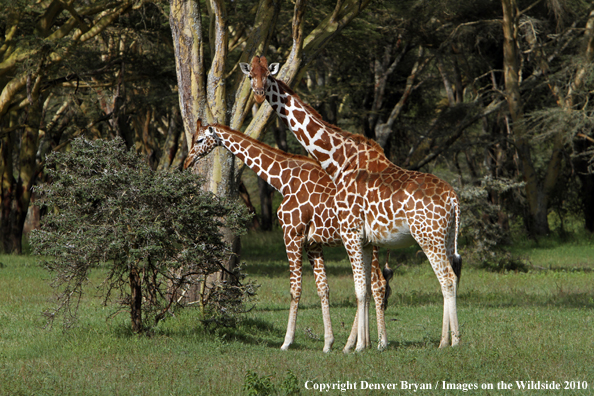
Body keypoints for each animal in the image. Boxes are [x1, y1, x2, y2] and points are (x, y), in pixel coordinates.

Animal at [183, 119, 390, 352]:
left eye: (199, 140)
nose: (187, 162)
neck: (283, 180)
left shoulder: (292, 234)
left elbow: (295, 289)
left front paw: (287, 341)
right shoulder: (313, 243)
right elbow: (323, 288)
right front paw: (328, 343)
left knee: (376, 284)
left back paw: (374, 343)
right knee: (375, 283)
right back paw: (367, 342)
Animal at [238, 55, 460, 350]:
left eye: (268, 75)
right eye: (250, 75)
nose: (259, 94)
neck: (338, 160)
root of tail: (453, 198)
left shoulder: (350, 231)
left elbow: (359, 288)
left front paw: (355, 346)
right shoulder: (363, 237)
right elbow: (362, 288)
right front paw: (361, 345)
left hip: (428, 237)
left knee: (446, 278)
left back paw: (452, 342)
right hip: (444, 237)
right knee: (450, 276)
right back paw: (445, 341)